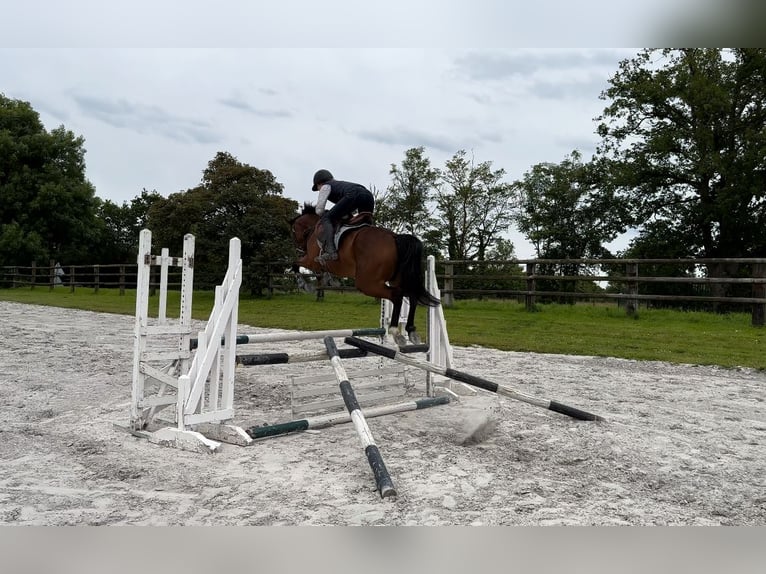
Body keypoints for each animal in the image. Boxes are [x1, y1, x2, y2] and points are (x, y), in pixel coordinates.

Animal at [290, 202, 444, 346]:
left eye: (293, 231)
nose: (299, 249)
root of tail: (395, 237)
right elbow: (319, 271)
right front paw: (331, 281)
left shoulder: (311, 260)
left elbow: (295, 264)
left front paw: (305, 285)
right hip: (396, 279)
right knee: (412, 296)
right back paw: (411, 331)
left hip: (367, 284)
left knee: (397, 296)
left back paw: (395, 331)